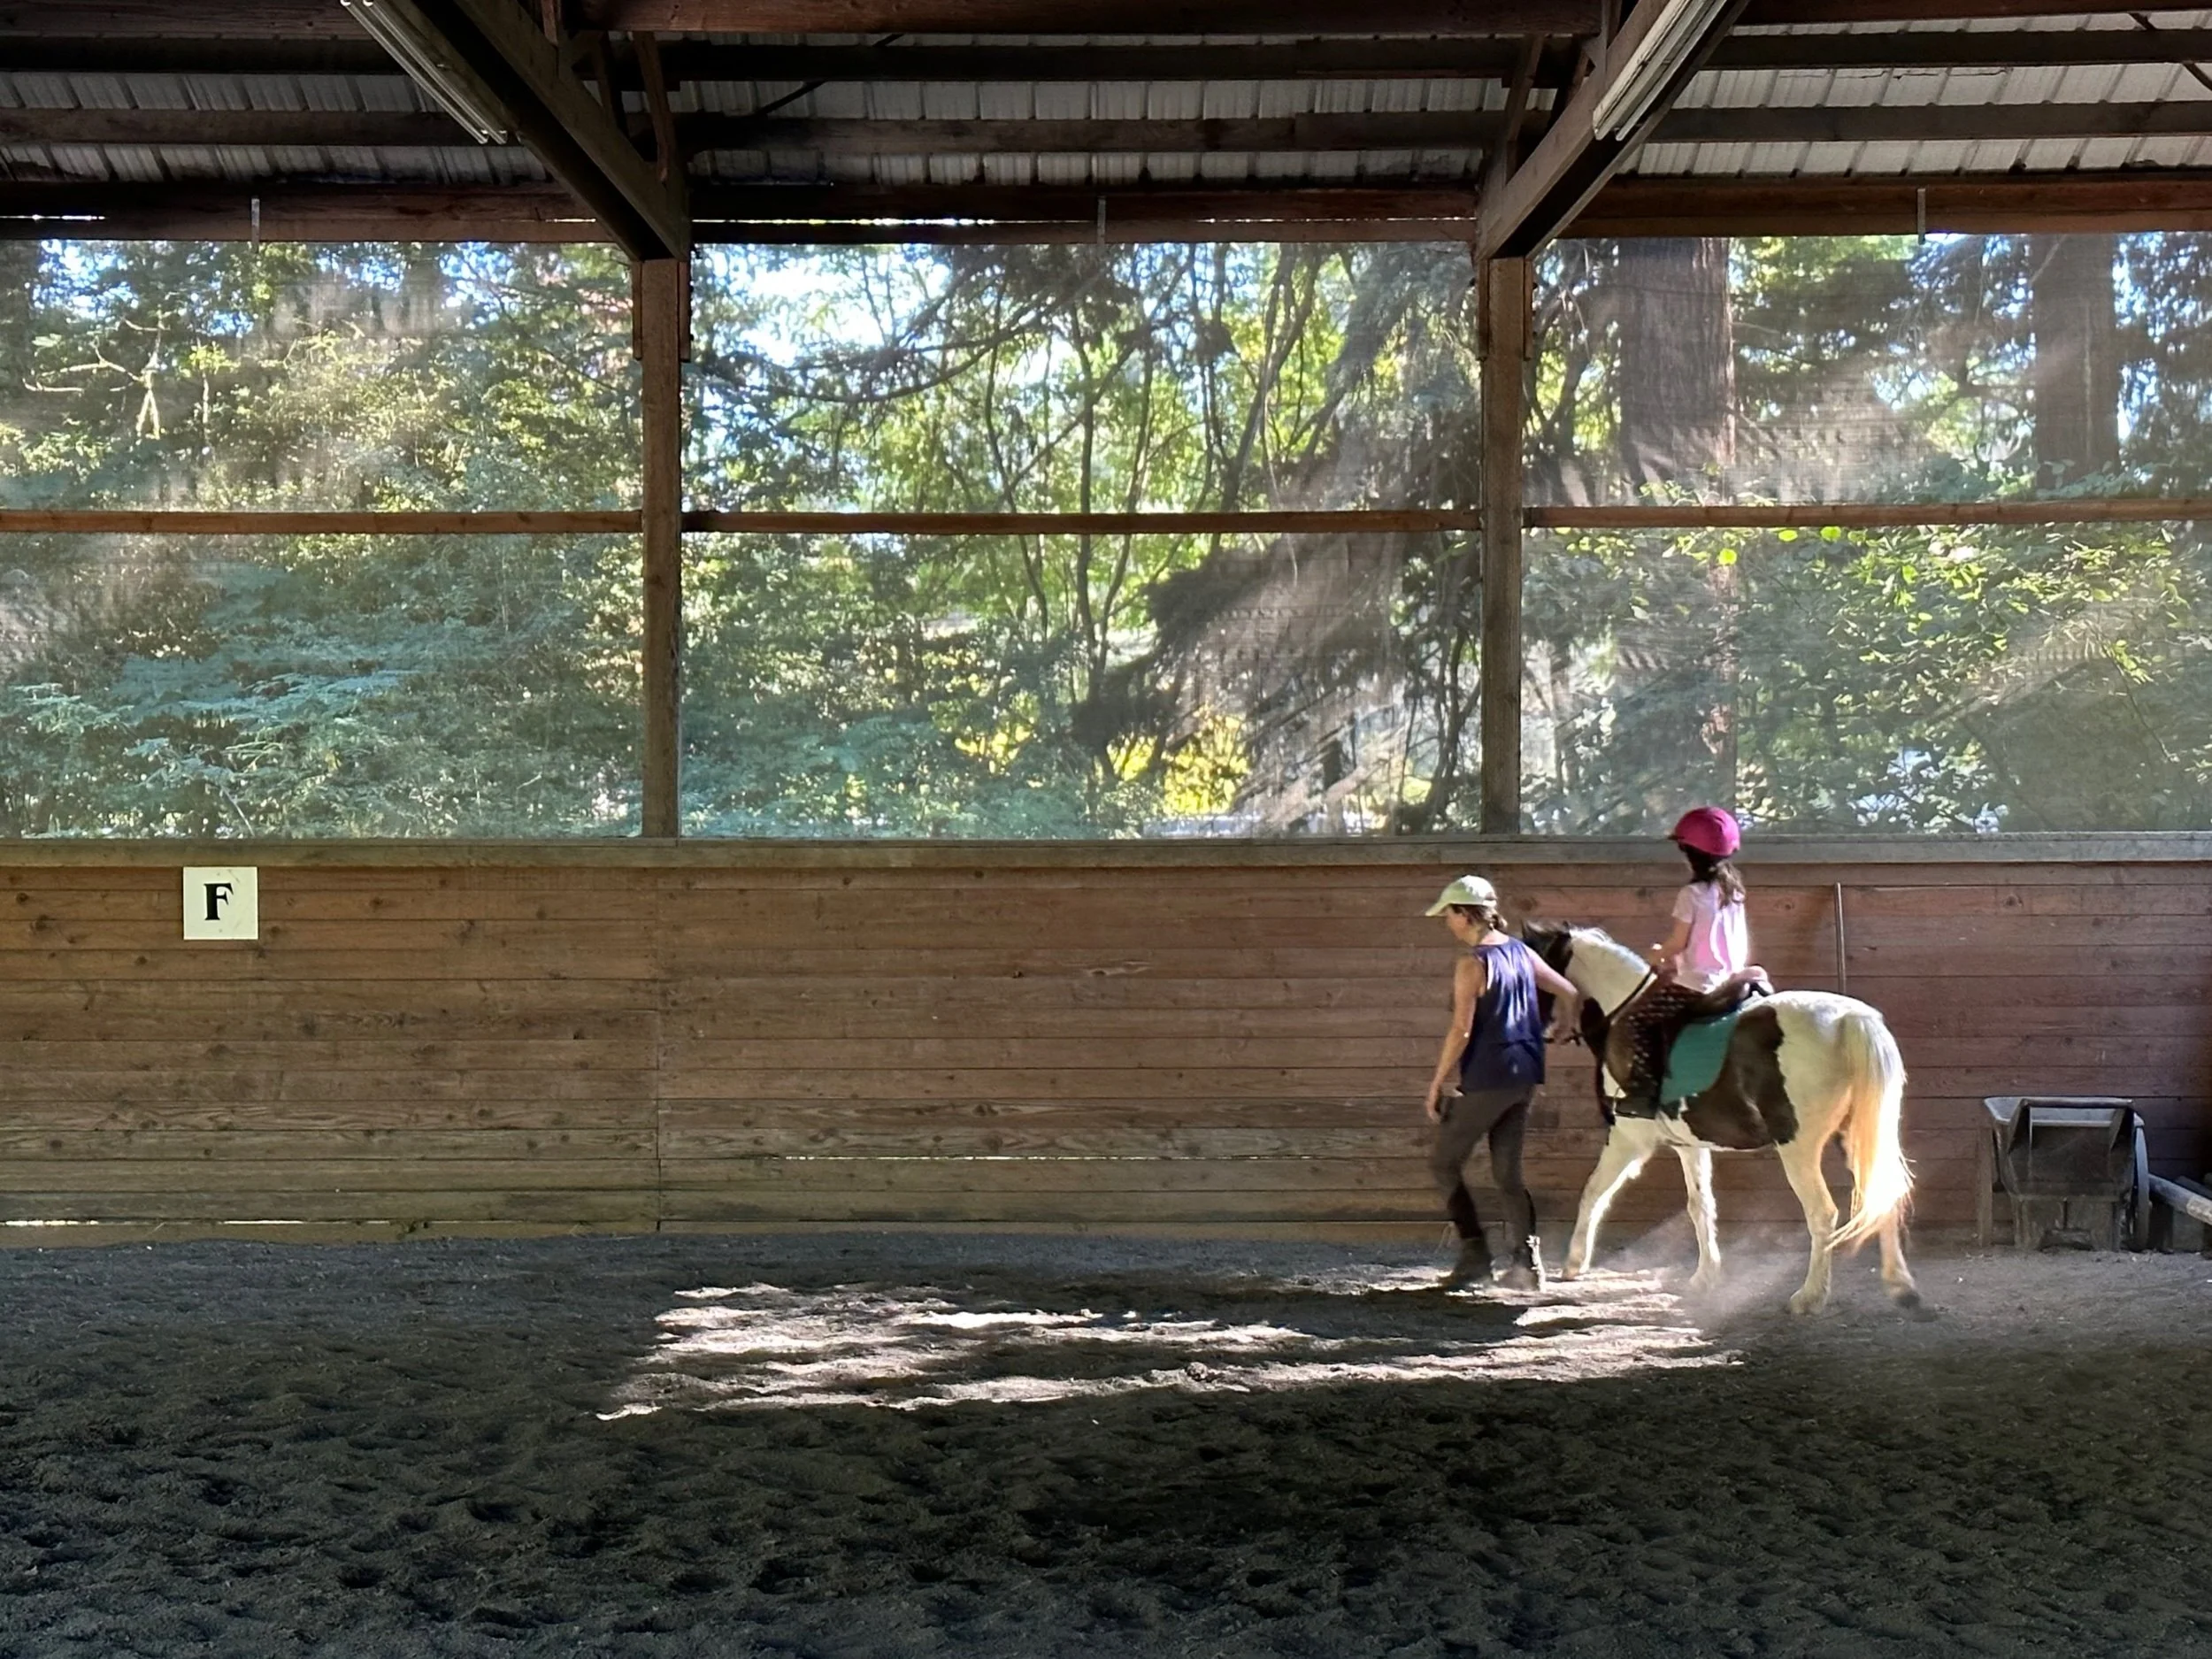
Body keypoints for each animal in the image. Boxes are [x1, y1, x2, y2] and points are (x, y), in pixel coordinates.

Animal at [1524, 924, 1921, 1316]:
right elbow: (1700, 1206)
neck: (1621, 1013)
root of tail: (1847, 1019)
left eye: (1536, 972)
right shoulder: (1689, 1145)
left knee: (1822, 1212)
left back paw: (1809, 1296)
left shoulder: (1628, 1139)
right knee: (1884, 1194)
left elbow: (1593, 1190)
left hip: (1798, 1146)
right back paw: (1900, 1287)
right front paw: (1705, 1277)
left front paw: (1574, 1262)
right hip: (1860, 1136)